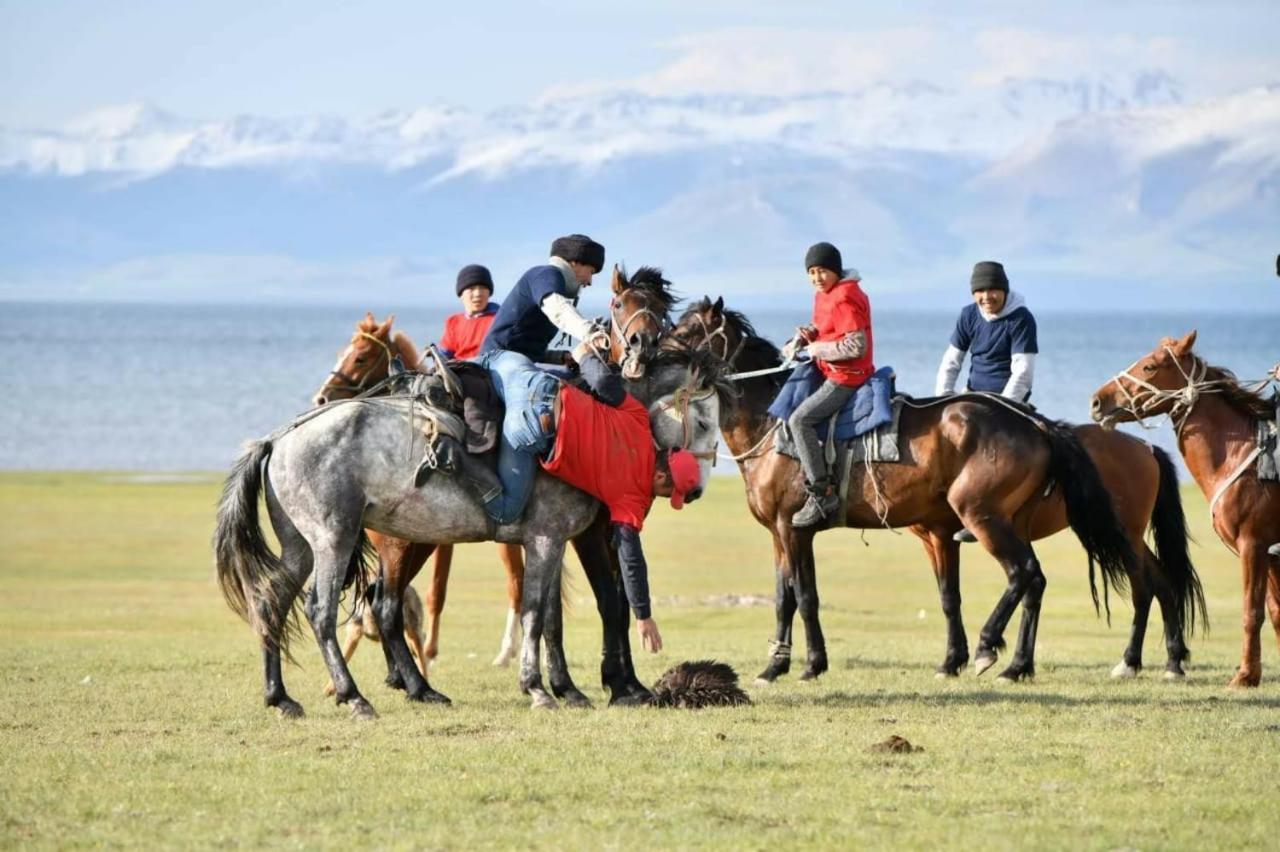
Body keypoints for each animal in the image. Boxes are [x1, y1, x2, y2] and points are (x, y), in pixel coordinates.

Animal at [215, 345, 727, 716]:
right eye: (703, 420)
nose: (698, 488)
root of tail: (278, 439)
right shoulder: (548, 539)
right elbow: (537, 613)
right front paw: (538, 689)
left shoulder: (552, 541)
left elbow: (551, 618)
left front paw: (568, 689)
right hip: (334, 541)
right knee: (323, 611)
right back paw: (355, 696)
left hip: (301, 547)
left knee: (274, 604)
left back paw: (284, 697)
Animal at [665, 295, 1136, 680]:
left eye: (686, 332)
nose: (650, 355)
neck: (772, 420)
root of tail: (1035, 424)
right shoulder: (781, 534)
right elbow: (785, 598)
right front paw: (776, 666)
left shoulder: (794, 530)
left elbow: (805, 597)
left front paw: (809, 665)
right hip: (1010, 522)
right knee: (1034, 581)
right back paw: (1017, 665)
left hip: (982, 517)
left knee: (1023, 573)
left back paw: (988, 647)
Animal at [1090, 327, 1280, 685]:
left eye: (1149, 366)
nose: (1097, 401)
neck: (1243, 454)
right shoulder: (1270, 553)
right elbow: (1276, 611)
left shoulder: (1253, 546)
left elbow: (1252, 612)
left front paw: (1244, 677)